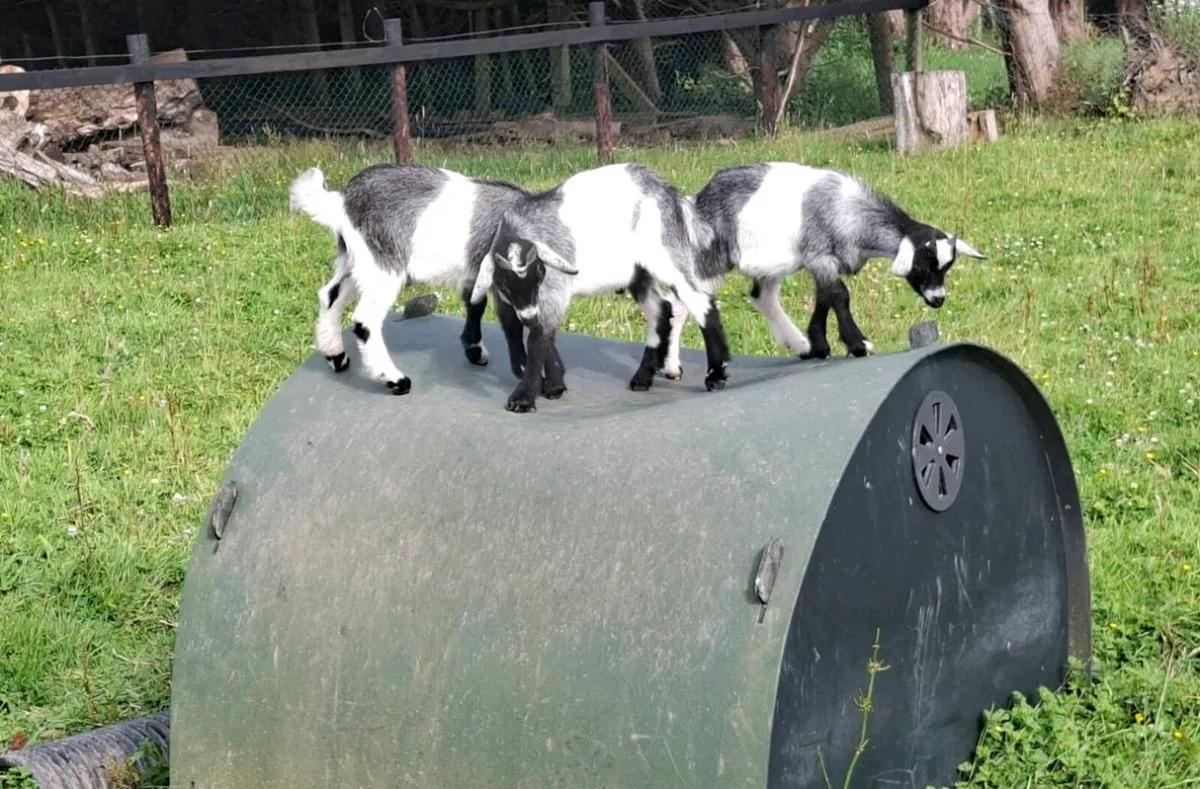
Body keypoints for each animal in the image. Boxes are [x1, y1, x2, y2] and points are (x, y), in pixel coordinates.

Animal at [289, 163, 530, 394]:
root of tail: (341, 201)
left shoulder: (475, 275)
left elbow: (476, 305)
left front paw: (474, 350)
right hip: (383, 264)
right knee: (365, 319)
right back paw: (394, 379)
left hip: (355, 262)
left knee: (329, 295)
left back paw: (336, 355)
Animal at [468, 162, 730, 413]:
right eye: (504, 283)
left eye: (539, 273)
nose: (528, 315)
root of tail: (669, 193)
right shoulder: (512, 302)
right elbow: (517, 329)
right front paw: (553, 385)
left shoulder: (553, 290)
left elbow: (538, 336)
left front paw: (524, 398)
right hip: (639, 273)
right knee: (660, 309)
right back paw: (643, 378)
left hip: (666, 255)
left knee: (700, 301)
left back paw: (716, 374)